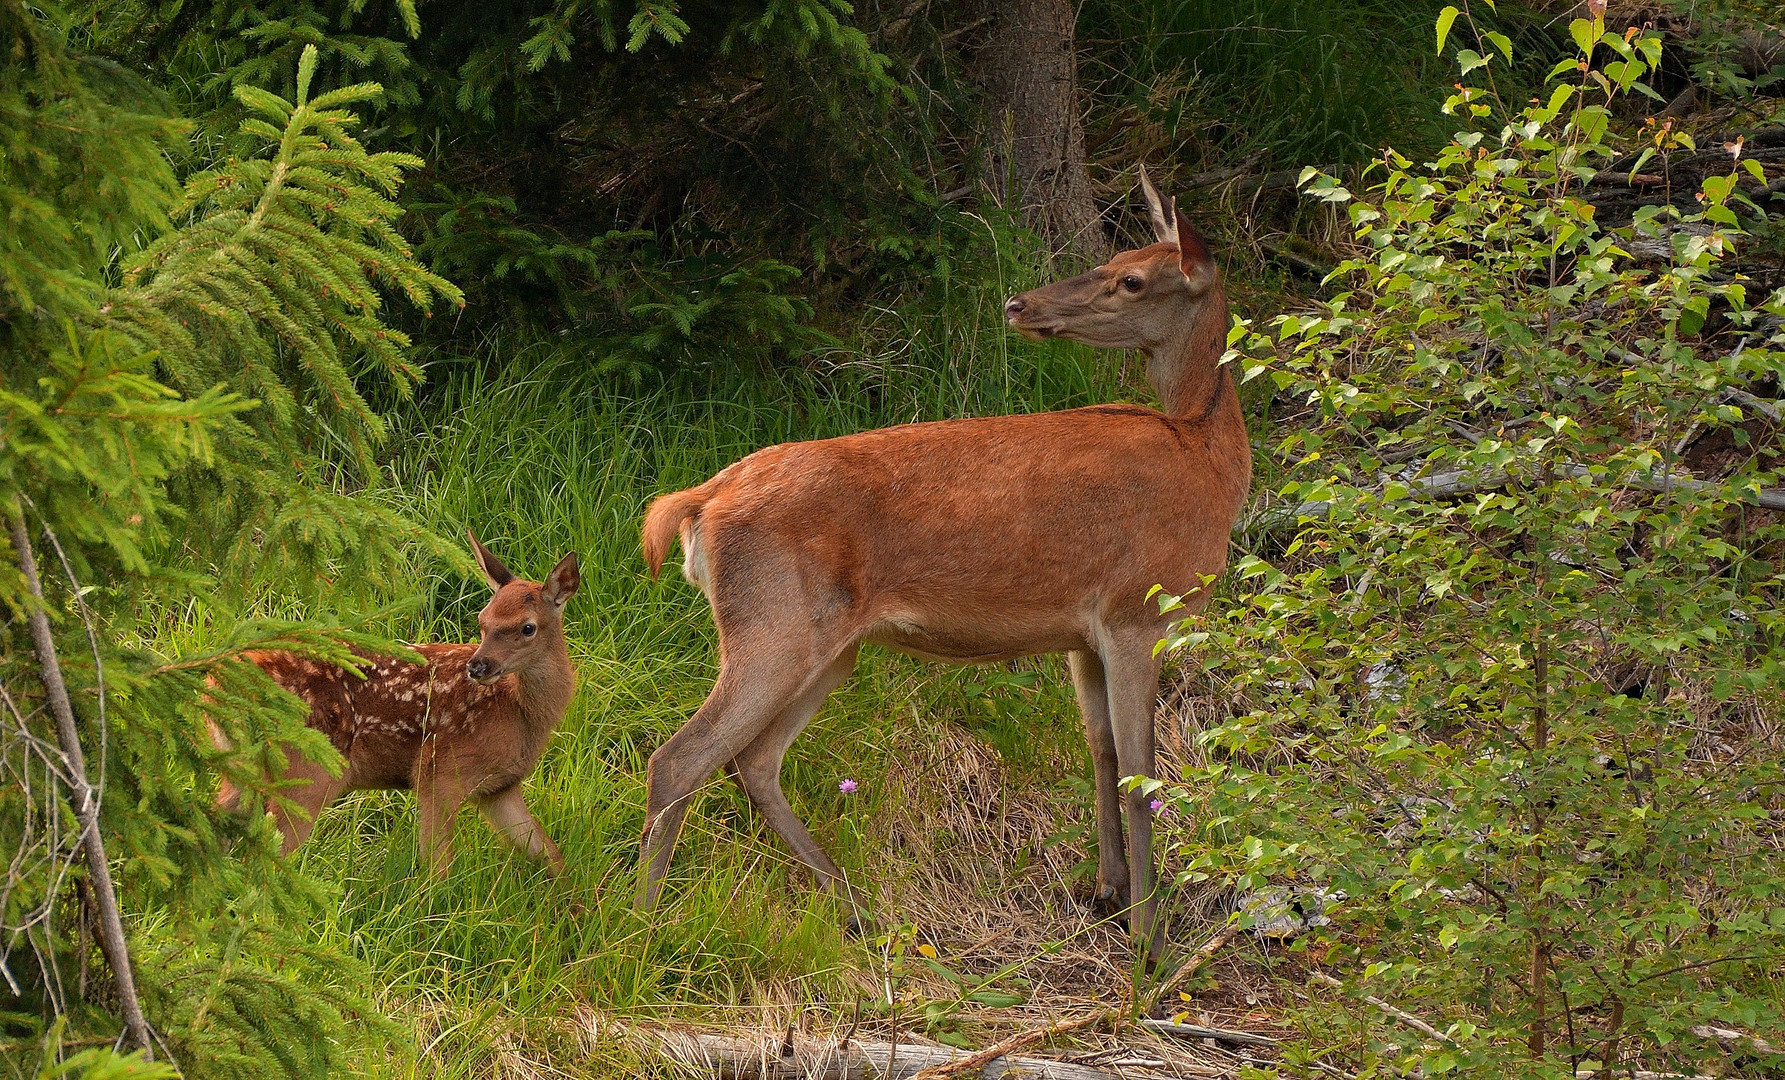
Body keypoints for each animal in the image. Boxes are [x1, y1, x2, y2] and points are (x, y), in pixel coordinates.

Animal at [215, 531, 578, 874]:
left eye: (527, 627)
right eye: (482, 621)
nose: (477, 666)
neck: (520, 714)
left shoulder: (501, 787)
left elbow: (550, 854)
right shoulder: (440, 770)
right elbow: (437, 868)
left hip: (241, 773)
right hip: (304, 774)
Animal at [635, 170, 1249, 949]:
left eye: (1131, 276)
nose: (1019, 303)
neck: (1210, 460)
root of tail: (702, 499)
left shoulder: (1083, 633)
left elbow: (1102, 751)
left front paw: (1109, 892)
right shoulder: (1136, 607)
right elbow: (1143, 776)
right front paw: (1146, 937)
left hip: (827, 645)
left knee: (753, 760)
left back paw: (852, 903)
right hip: (773, 624)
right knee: (680, 759)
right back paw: (639, 920)